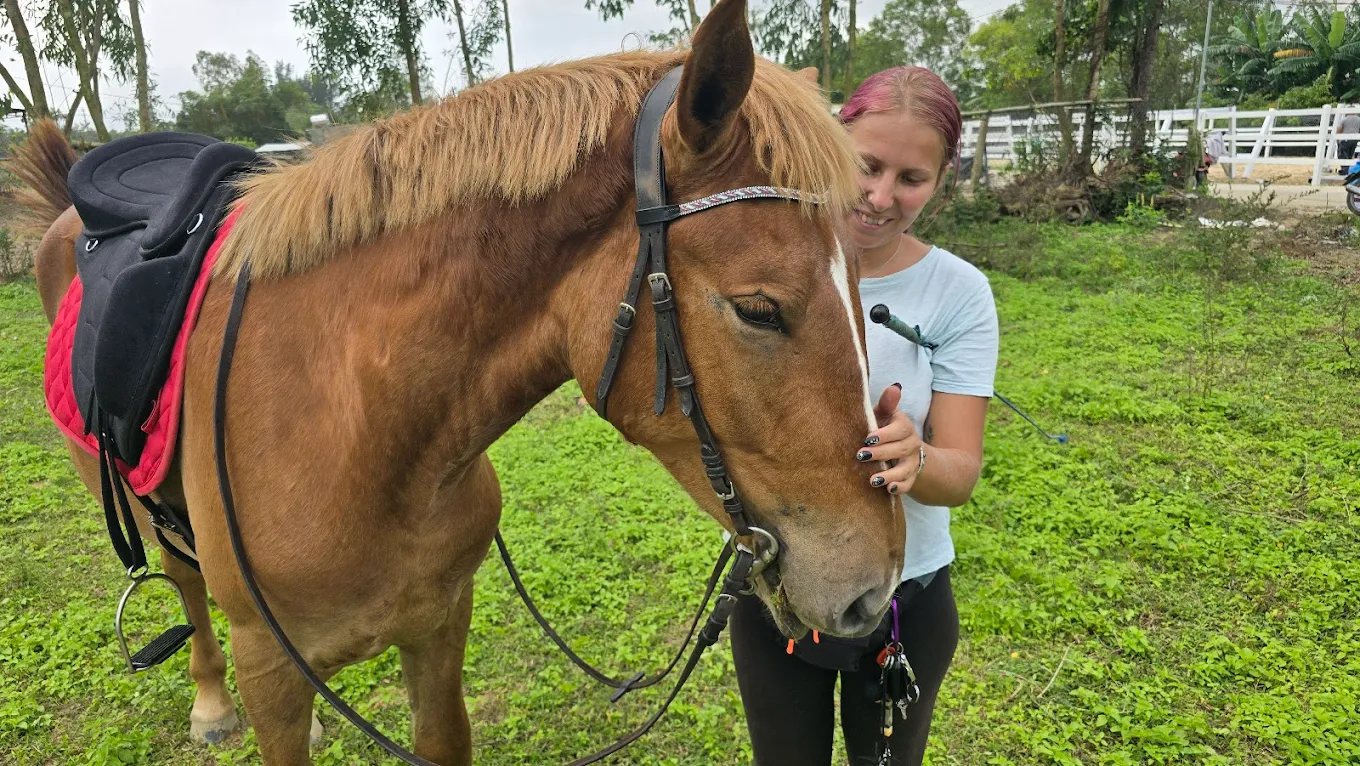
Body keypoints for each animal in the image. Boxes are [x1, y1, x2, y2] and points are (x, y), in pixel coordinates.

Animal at [14, 1, 904, 762]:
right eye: (758, 310)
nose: (874, 591)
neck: (358, 431)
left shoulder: (439, 624)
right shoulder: (268, 665)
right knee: (182, 582)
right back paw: (207, 702)